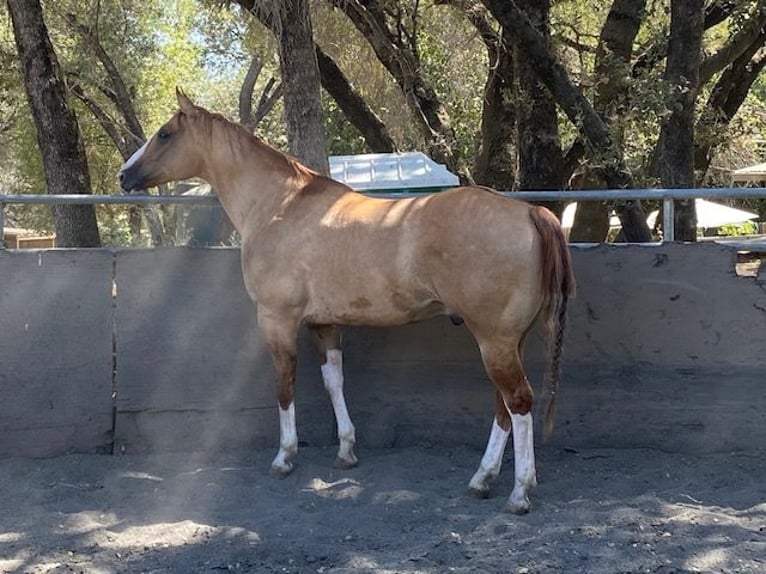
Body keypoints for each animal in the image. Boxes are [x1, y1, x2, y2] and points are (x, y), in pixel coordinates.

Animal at [118, 91, 576, 516]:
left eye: (165, 134)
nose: (124, 176)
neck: (279, 206)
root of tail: (529, 212)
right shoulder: (324, 324)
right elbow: (333, 382)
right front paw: (346, 450)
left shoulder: (277, 319)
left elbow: (284, 384)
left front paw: (284, 456)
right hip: (506, 341)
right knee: (504, 407)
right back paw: (482, 479)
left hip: (494, 341)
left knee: (519, 403)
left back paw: (519, 492)